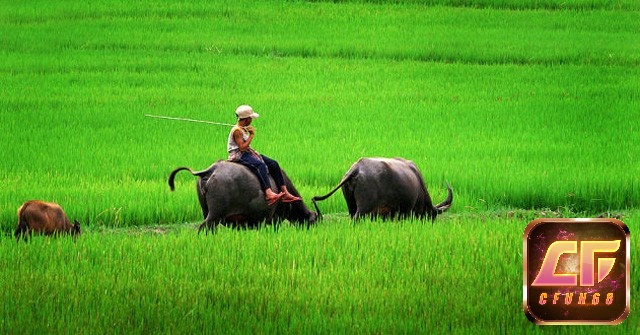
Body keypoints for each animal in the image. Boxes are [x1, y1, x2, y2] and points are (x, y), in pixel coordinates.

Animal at [168, 161, 318, 232]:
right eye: (314, 222)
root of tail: (212, 170)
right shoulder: (276, 218)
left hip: (206, 211)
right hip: (215, 214)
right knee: (204, 227)